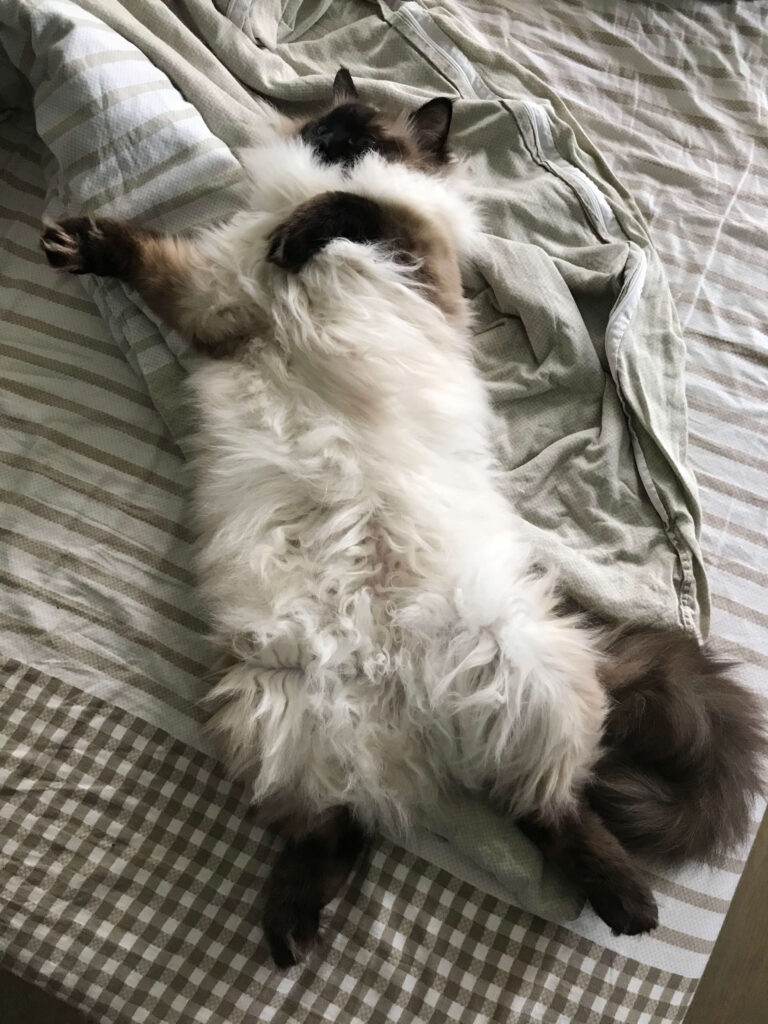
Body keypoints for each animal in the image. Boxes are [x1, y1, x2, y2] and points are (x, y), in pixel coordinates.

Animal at [41, 66, 765, 966]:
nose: (332, 144)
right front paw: (85, 247)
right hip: (277, 709)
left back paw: (628, 904)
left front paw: (308, 225)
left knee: (552, 808)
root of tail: (411, 716)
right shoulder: (220, 302)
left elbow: (362, 208)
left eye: (363, 135)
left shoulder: (419, 258)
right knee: (346, 831)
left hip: (512, 678)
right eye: (327, 128)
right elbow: (147, 253)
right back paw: (291, 933)